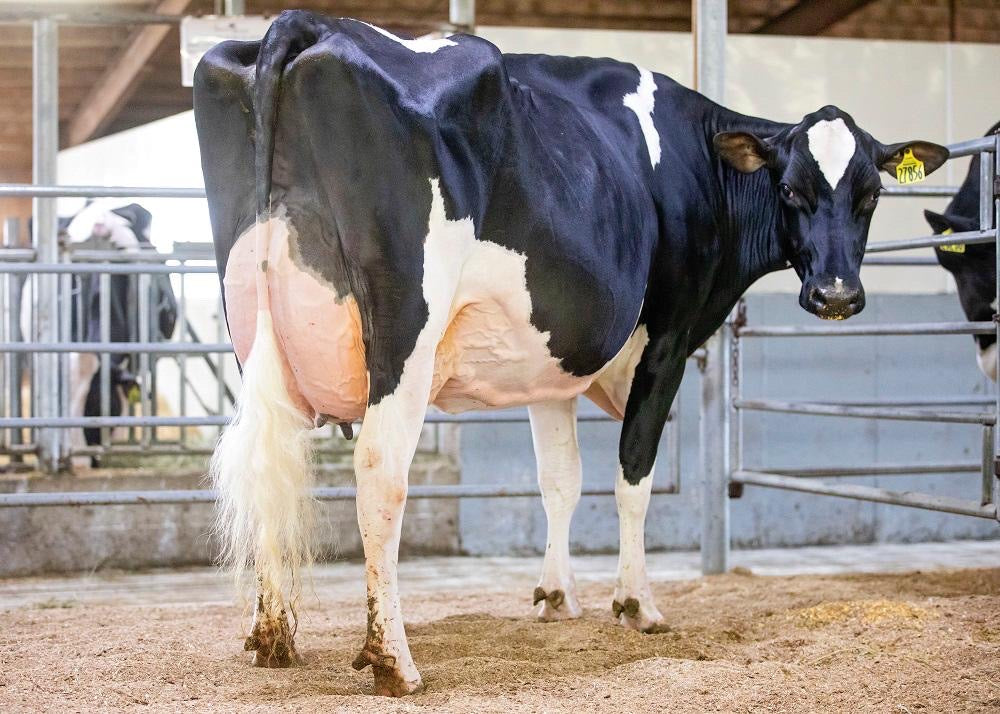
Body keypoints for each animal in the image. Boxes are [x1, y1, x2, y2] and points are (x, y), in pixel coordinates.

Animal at [193, 10, 948, 696]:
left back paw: (273, 637)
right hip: (405, 328)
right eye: (791, 189)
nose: (836, 294)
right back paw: (393, 661)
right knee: (380, 474)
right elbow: (632, 477)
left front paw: (556, 596)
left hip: (253, 323)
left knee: (271, 463)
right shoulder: (670, 341)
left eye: (872, 194)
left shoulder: (548, 366)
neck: (698, 159)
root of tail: (308, 23)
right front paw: (637, 604)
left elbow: (559, 479)